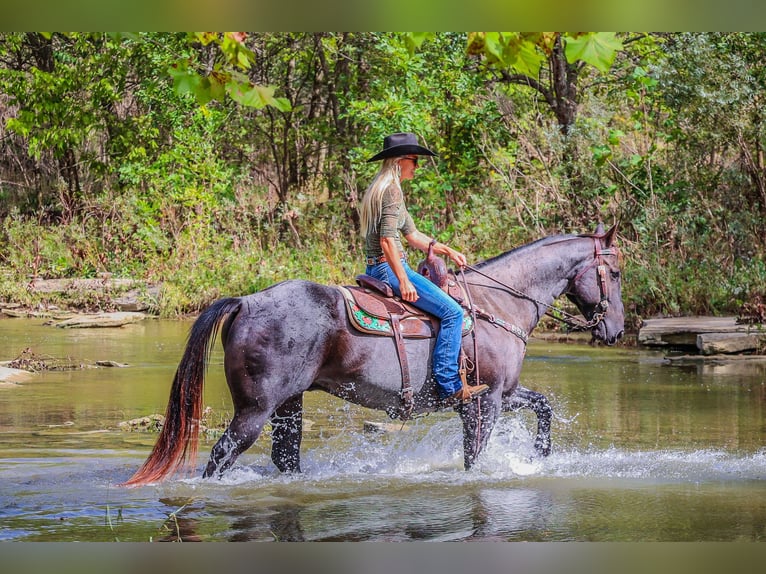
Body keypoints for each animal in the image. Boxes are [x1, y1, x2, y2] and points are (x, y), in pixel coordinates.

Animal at [123, 223, 624, 486]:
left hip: (288, 405)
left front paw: (539, 457)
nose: (617, 330)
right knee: (220, 457)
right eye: (615, 273)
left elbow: (545, 406)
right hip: (254, 411)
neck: (497, 304)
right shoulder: (486, 402)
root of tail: (246, 301)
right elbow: (475, 458)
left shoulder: (506, 393)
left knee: (286, 459)